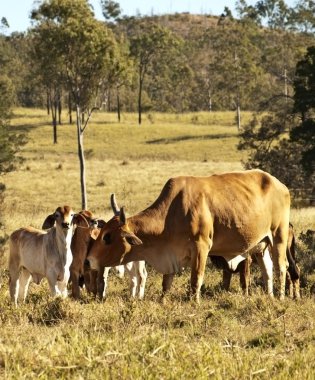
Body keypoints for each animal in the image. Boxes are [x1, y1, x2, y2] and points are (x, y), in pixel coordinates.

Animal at [86, 171, 292, 302]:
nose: (88, 261)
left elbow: (196, 279)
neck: (172, 213)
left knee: (281, 268)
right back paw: (270, 297)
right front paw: (163, 301)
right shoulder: (170, 254)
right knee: (268, 270)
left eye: (107, 237)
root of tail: (280, 184)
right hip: (261, 245)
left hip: (278, 237)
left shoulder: (201, 247)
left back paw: (281, 297)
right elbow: (166, 283)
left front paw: (195, 302)